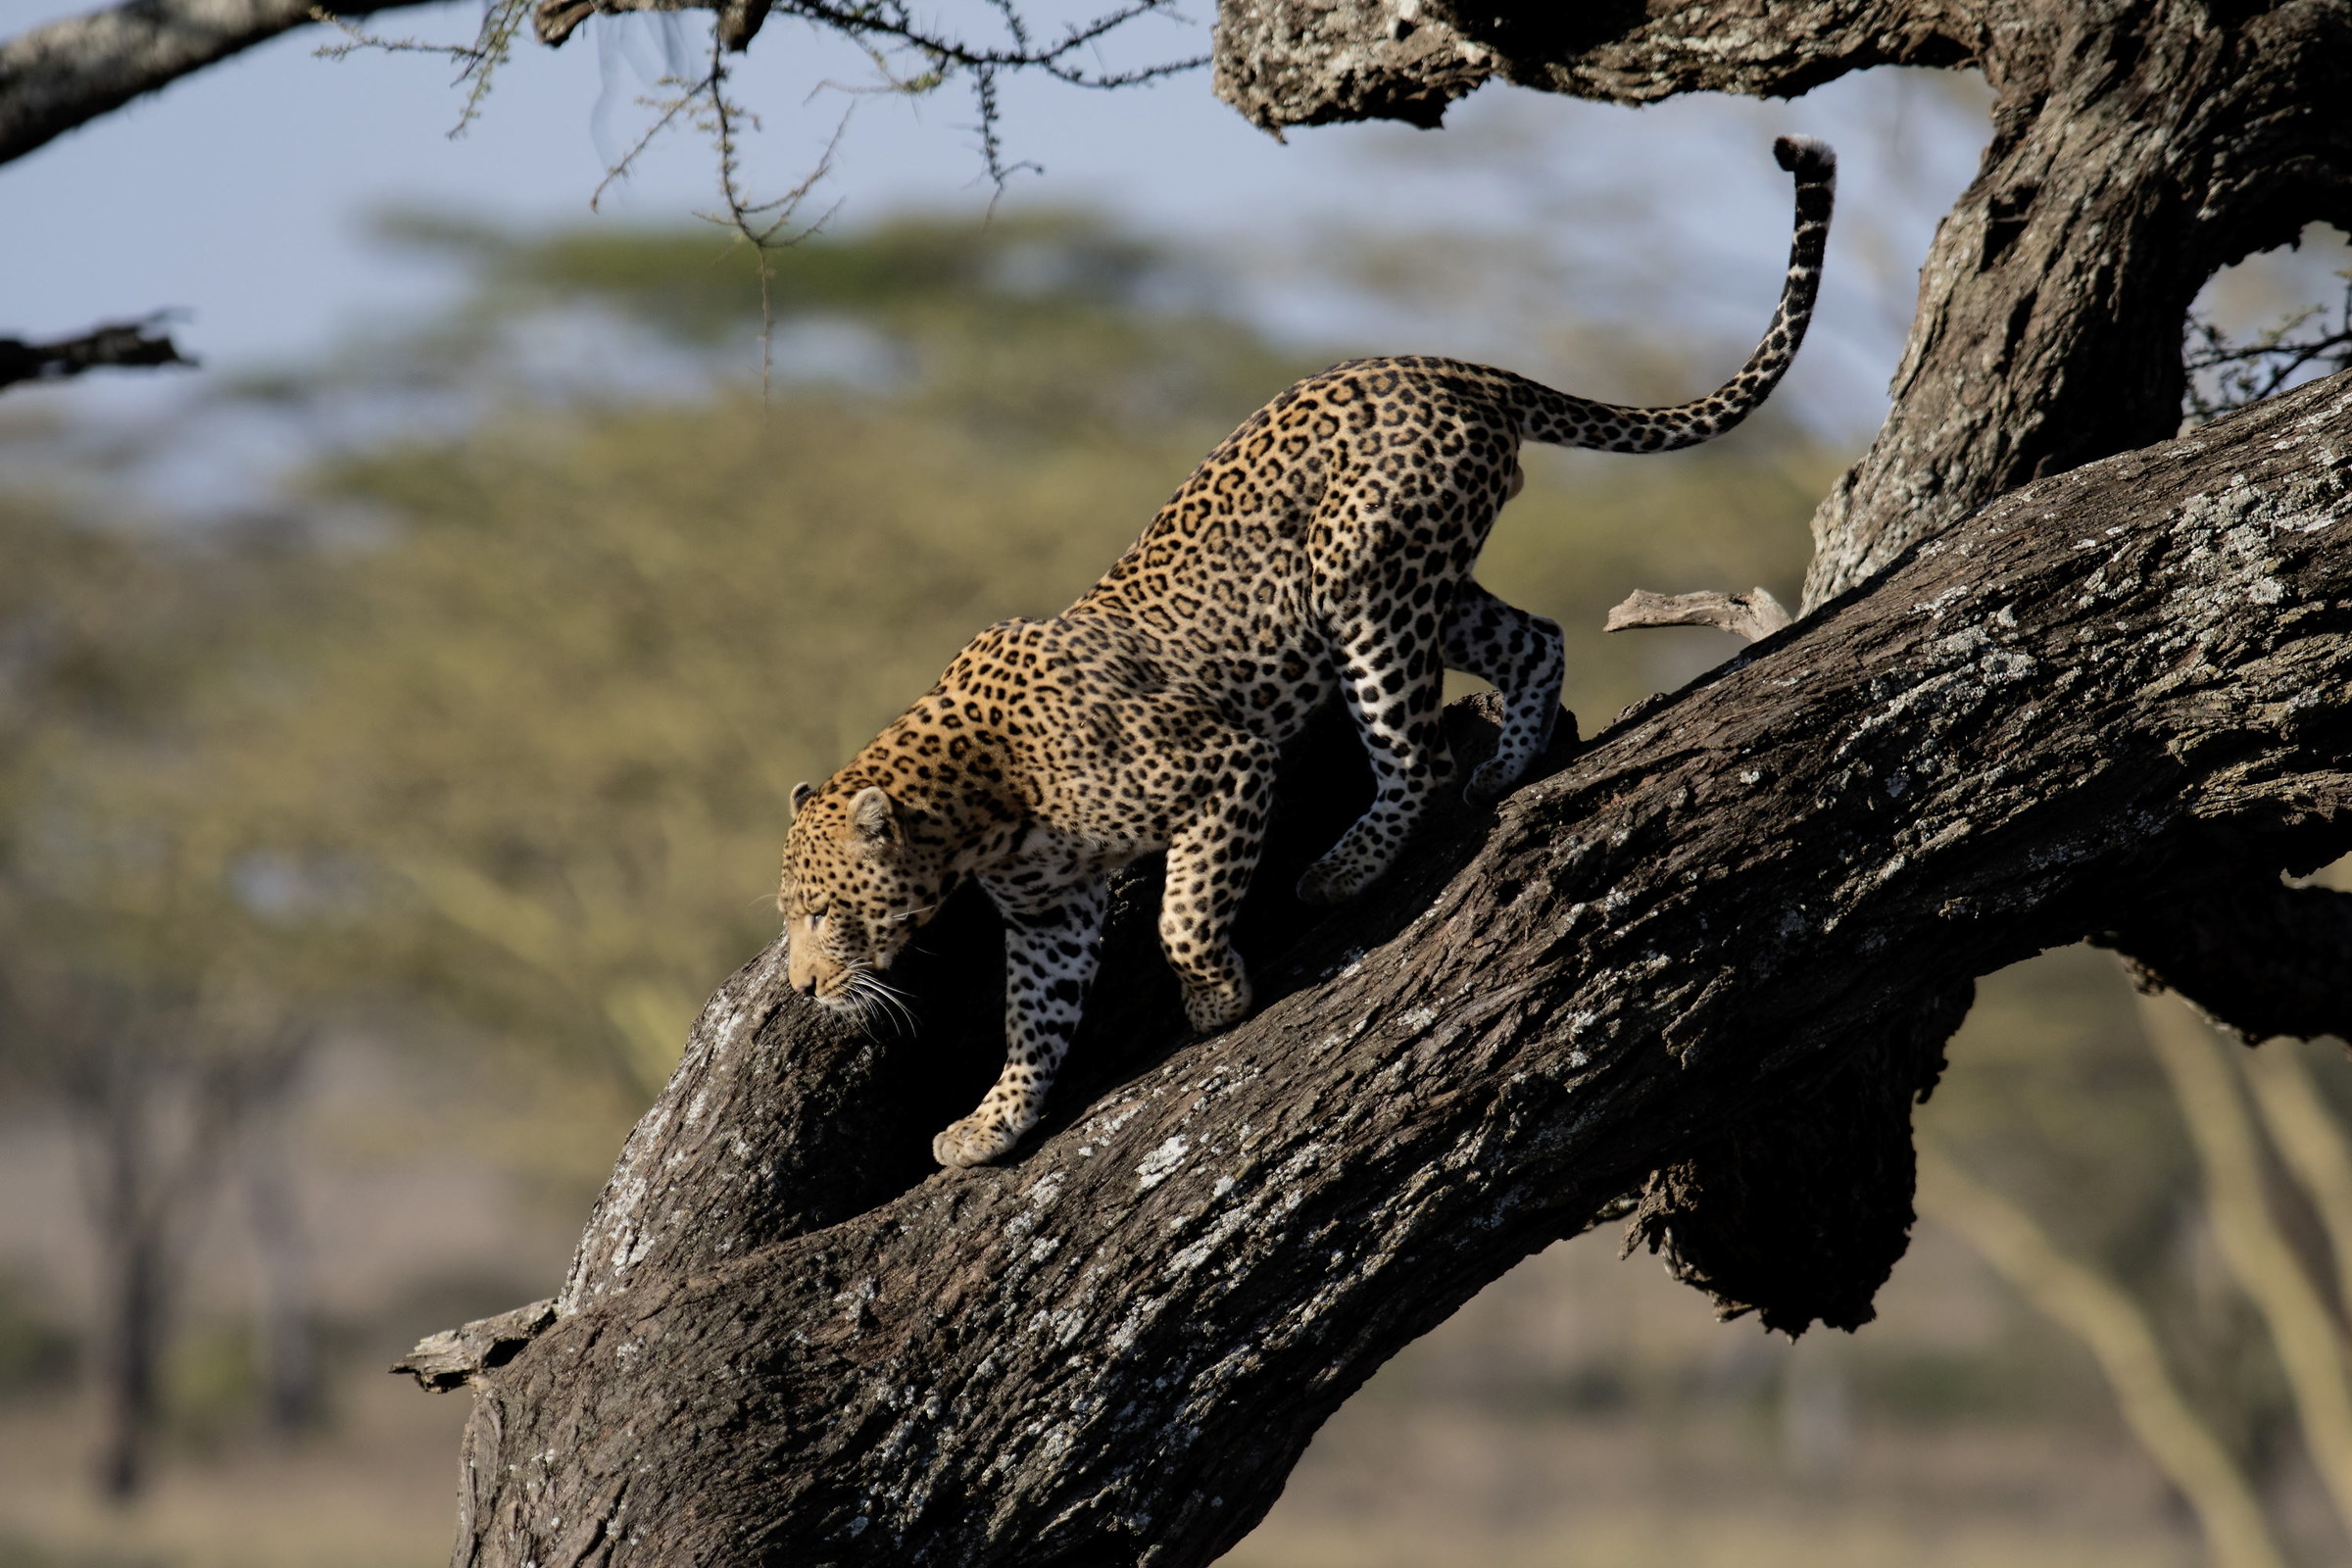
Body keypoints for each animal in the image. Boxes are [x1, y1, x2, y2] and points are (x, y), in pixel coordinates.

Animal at [781, 136, 1835, 1169]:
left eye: (824, 911)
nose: (798, 985)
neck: (974, 809)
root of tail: (1447, 365)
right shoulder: (1050, 912)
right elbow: (1033, 1019)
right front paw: (994, 1122)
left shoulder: (1222, 767)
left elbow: (1181, 913)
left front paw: (1214, 996)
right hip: (1418, 578)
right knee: (1535, 638)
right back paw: (1506, 767)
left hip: (1362, 589)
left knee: (1413, 751)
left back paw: (1346, 868)